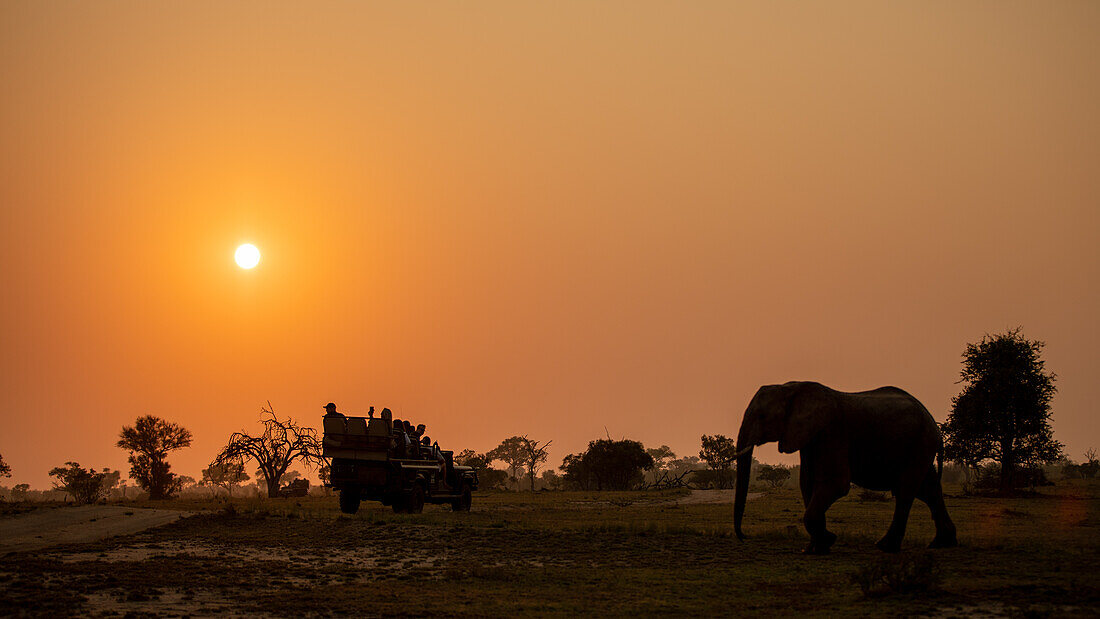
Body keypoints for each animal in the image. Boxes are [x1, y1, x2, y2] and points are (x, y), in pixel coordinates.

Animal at [734, 380, 959, 554]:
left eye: (762, 416)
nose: (744, 537)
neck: (791, 387)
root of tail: (935, 425)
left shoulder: (832, 431)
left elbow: (835, 484)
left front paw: (828, 540)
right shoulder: (810, 437)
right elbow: (807, 484)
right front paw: (814, 548)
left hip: (919, 443)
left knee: (906, 490)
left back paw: (885, 547)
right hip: (920, 446)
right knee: (928, 490)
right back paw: (941, 544)